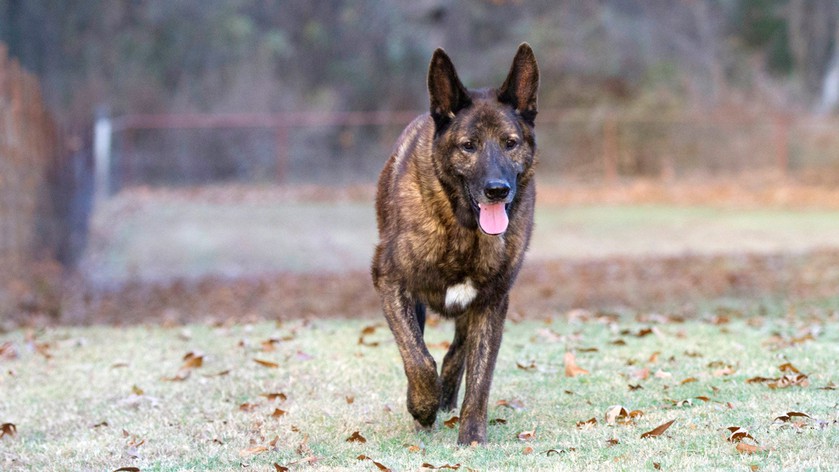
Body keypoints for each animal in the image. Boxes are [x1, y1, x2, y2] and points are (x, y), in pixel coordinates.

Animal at [372, 42, 540, 444]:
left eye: (510, 144)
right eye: (468, 146)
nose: (497, 190)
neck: (463, 228)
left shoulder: (492, 302)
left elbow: (480, 378)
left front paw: (472, 436)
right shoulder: (391, 283)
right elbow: (418, 358)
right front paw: (422, 405)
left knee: (456, 354)